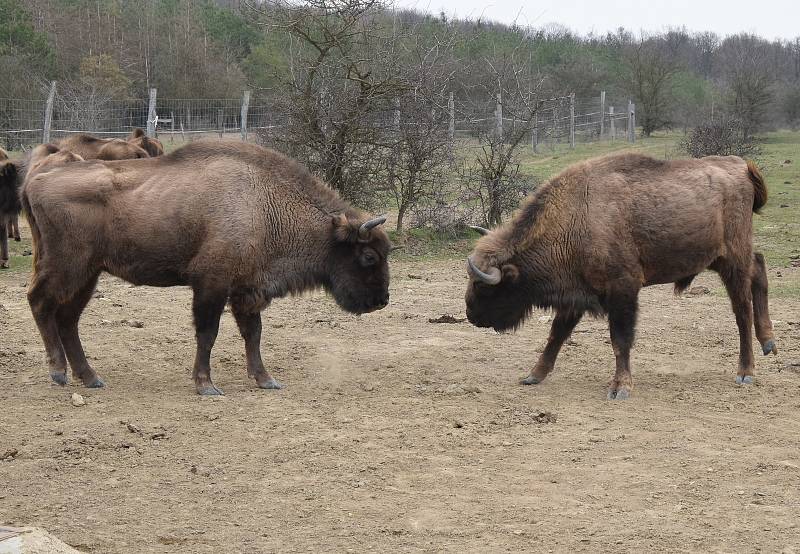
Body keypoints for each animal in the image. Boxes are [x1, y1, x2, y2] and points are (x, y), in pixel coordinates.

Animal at [21, 140, 390, 394]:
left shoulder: (246, 290)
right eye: (369, 256)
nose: (382, 300)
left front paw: (266, 379)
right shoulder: (211, 285)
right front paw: (206, 385)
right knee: (40, 302)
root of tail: (35, 180)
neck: (264, 205)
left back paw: (91, 377)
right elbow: (207, 333)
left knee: (67, 319)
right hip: (69, 266)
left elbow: (253, 334)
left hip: (89, 274)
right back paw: (58, 372)